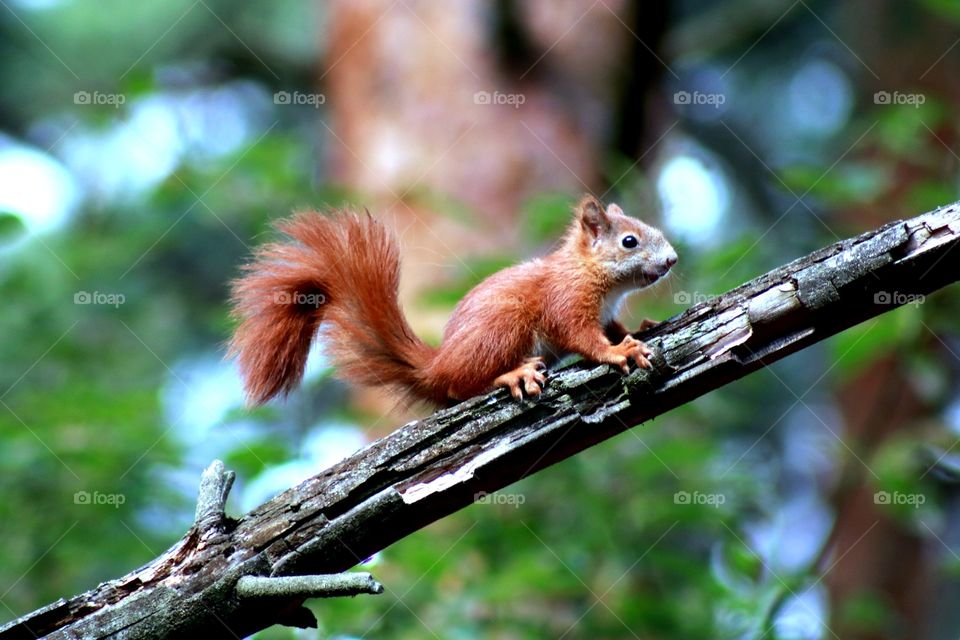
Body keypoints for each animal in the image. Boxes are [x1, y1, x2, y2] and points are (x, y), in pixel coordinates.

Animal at [229, 195, 677, 407]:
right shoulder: (566, 301)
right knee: (462, 386)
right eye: (630, 241)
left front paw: (642, 327)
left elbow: (613, 327)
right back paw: (511, 375)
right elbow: (582, 337)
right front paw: (619, 352)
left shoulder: (606, 312)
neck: (594, 275)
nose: (672, 259)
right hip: (501, 328)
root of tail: (437, 364)